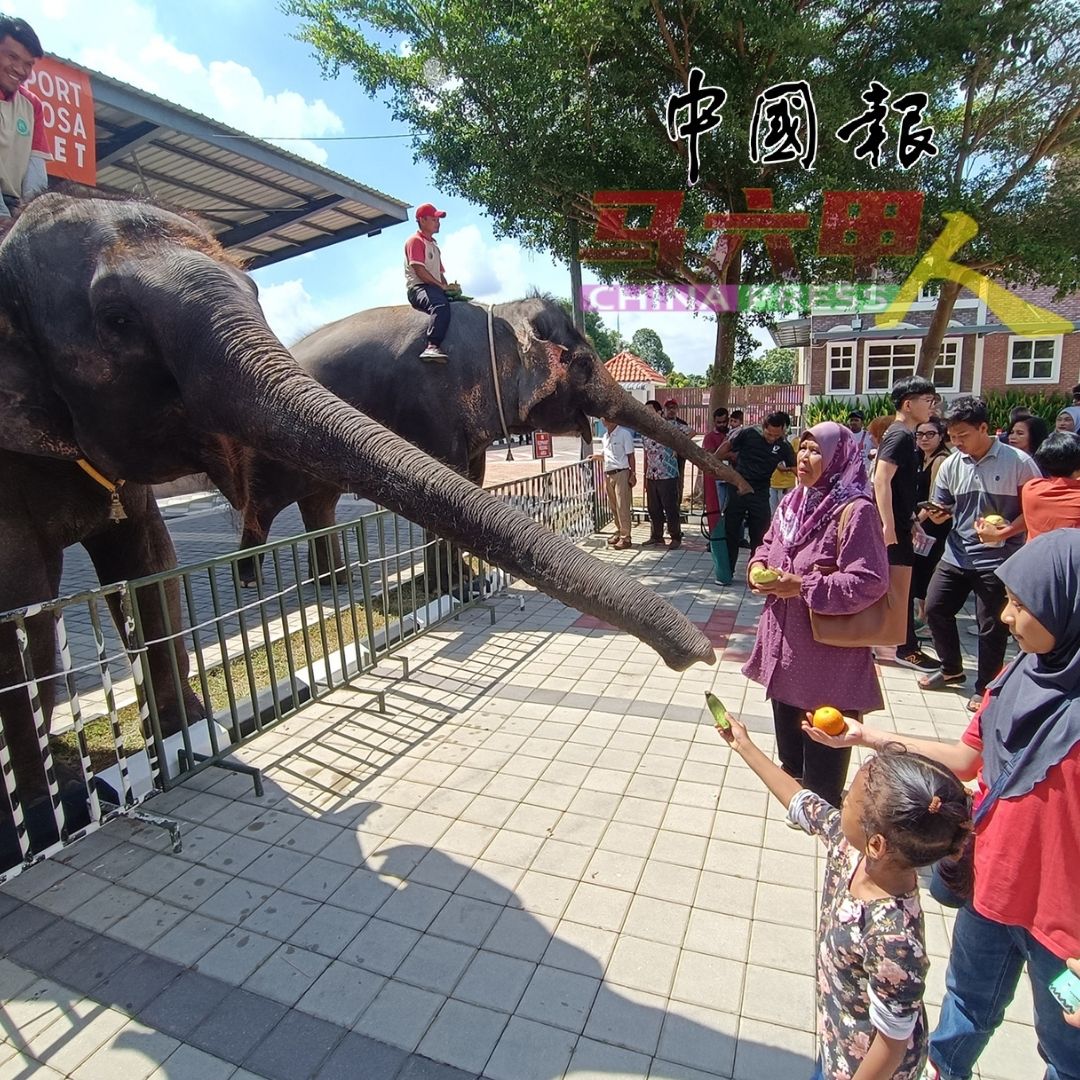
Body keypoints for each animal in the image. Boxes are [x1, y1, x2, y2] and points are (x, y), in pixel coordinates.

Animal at [234, 291, 751, 587]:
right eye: (583, 363)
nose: (745, 486)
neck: (502, 319)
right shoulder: (432, 405)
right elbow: (446, 480)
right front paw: (459, 589)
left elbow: (471, 479)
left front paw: (465, 584)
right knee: (264, 504)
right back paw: (249, 579)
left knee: (318, 502)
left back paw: (334, 584)